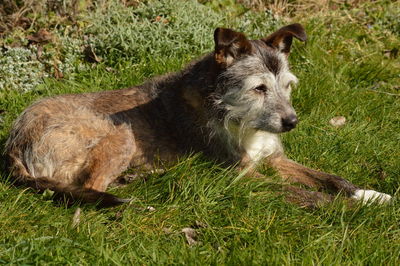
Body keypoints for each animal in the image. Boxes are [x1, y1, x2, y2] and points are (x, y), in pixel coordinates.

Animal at [3, 23, 390, 208]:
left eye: (287, 86)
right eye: (259, 88)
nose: (292, 123)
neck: (231, 112)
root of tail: (15, 142)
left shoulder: (274, 159)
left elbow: (331, 178)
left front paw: (368, 195)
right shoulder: (240, 175)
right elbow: (309, 194)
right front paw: (353, 211)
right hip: (120, 134)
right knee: (89, 187)